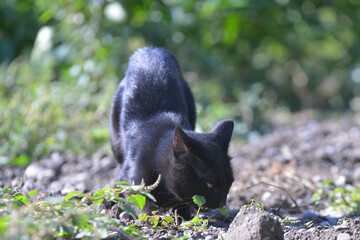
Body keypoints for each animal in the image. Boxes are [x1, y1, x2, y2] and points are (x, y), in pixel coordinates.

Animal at [109, 47, 233, 219]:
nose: (222, 202)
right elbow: (140, 200)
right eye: (209, 184)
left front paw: (182, 218)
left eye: (230, 183)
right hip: (116, 143)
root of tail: (151, 50)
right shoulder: (132, 178)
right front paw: (153, 217)